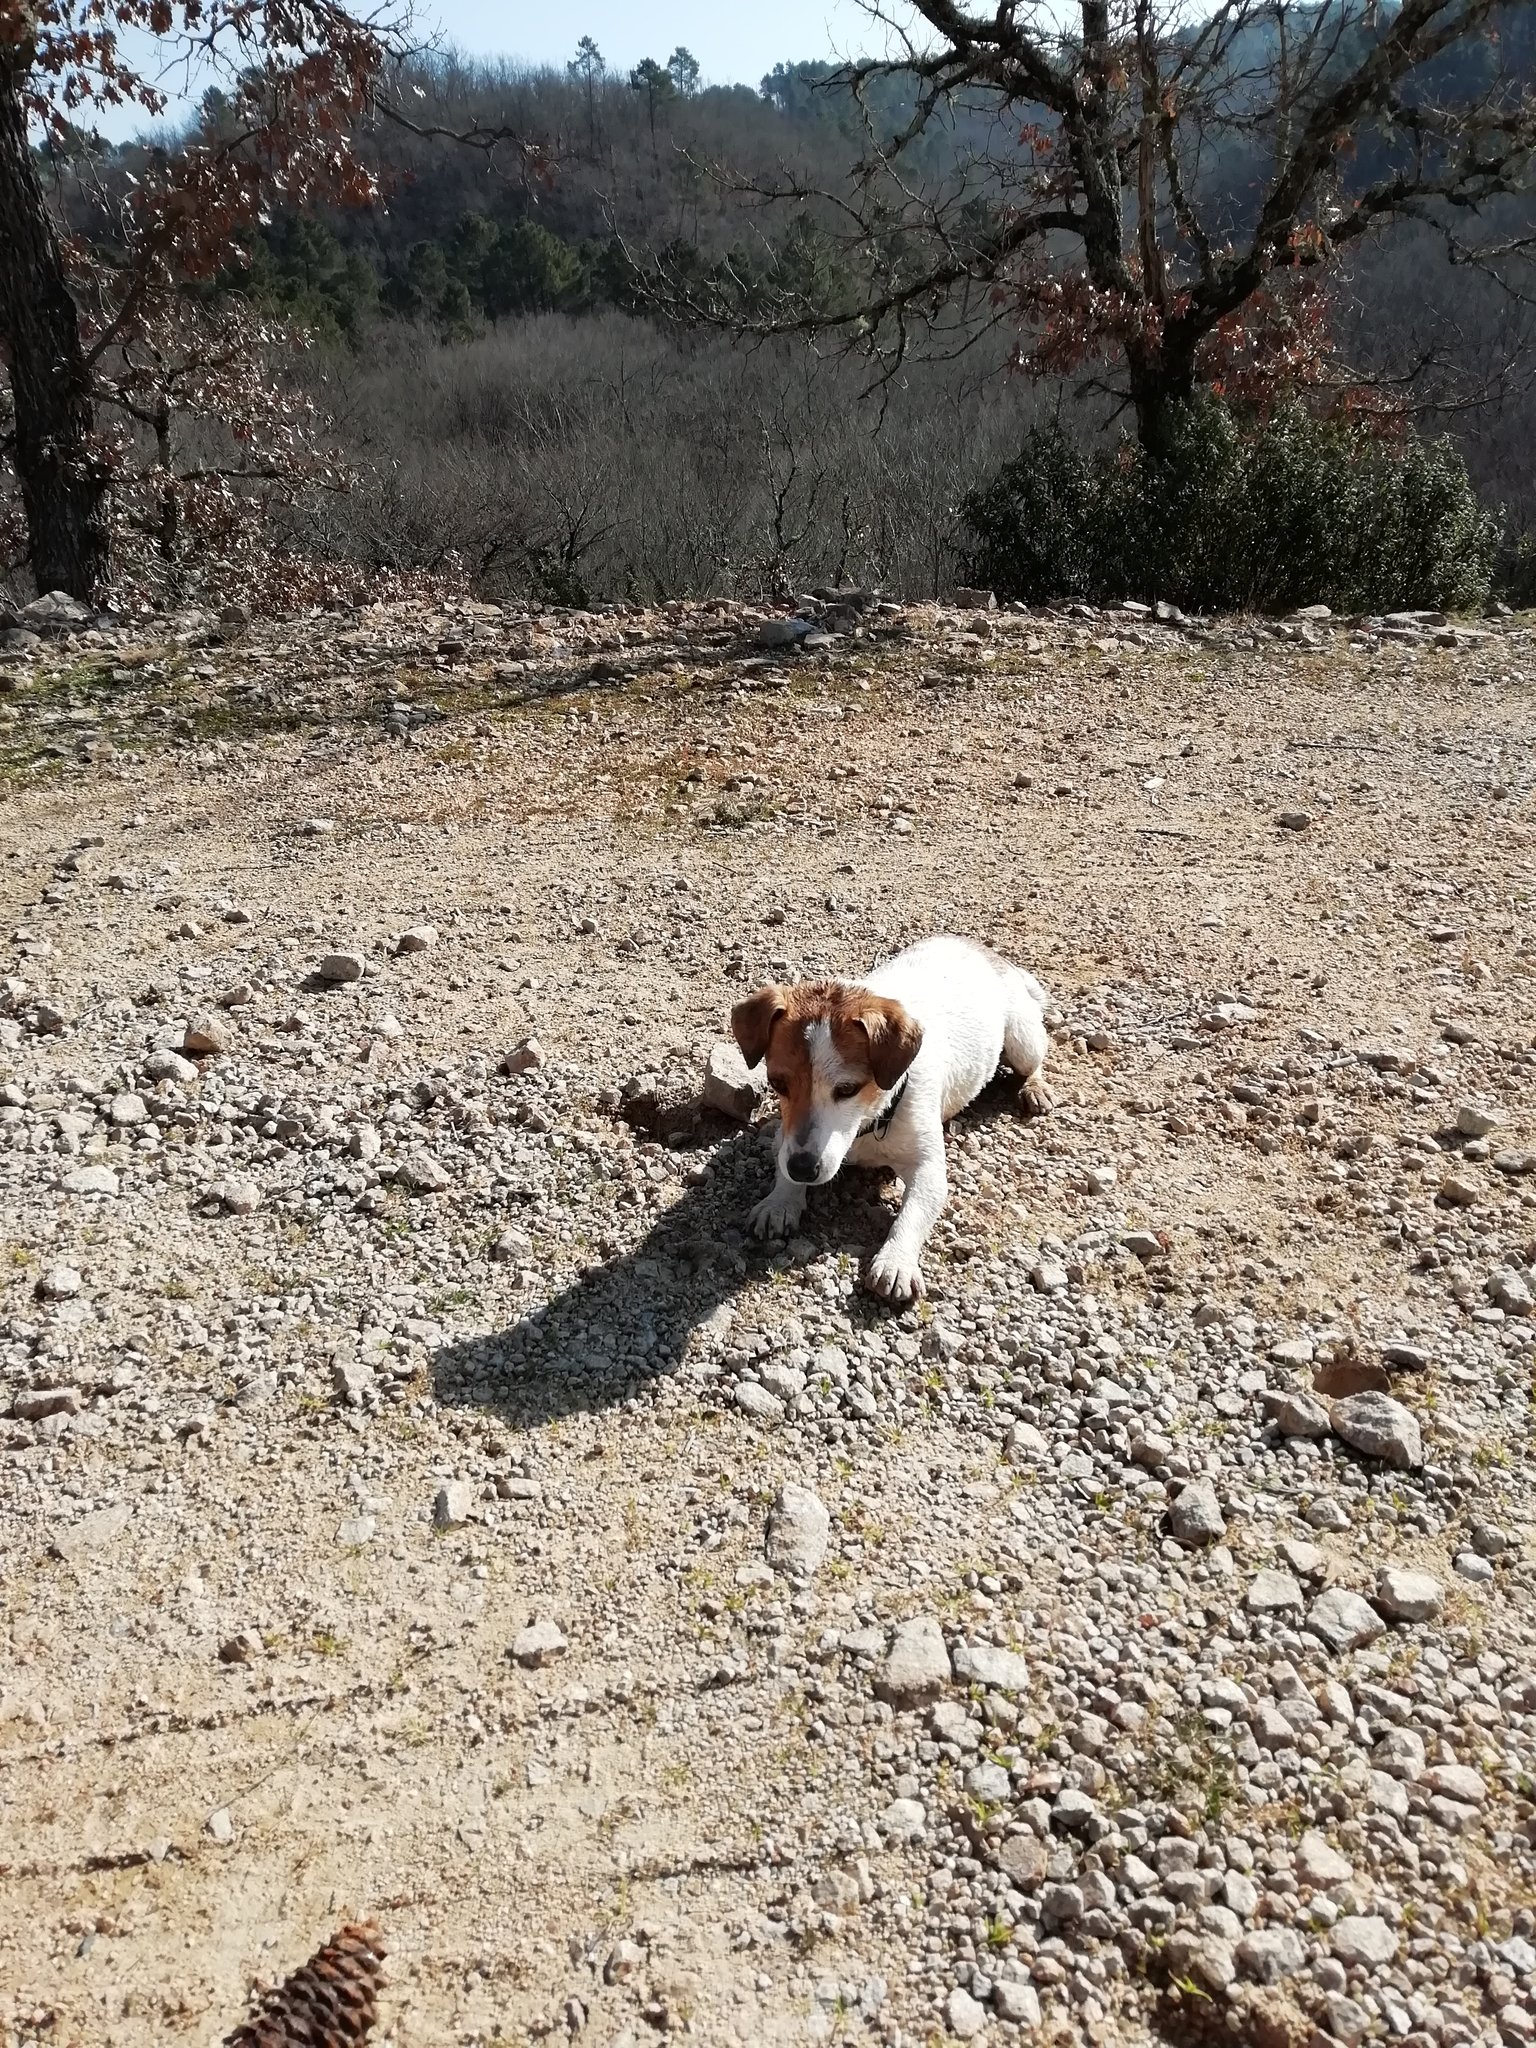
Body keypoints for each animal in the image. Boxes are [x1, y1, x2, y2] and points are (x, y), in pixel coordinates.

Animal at [731, 934, 1052, 1302]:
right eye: (777, 1083)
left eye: (847, 1089)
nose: (802, 1169)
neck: (868, 1125)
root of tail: (981, 949)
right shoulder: (786, 1139)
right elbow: (782, 1168)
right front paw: (780, 1200)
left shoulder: (928, 1169)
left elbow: (910, 1215)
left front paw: (896, 1260)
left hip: (1023, 1041)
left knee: (1036, 1057)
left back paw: (1034, 1087)